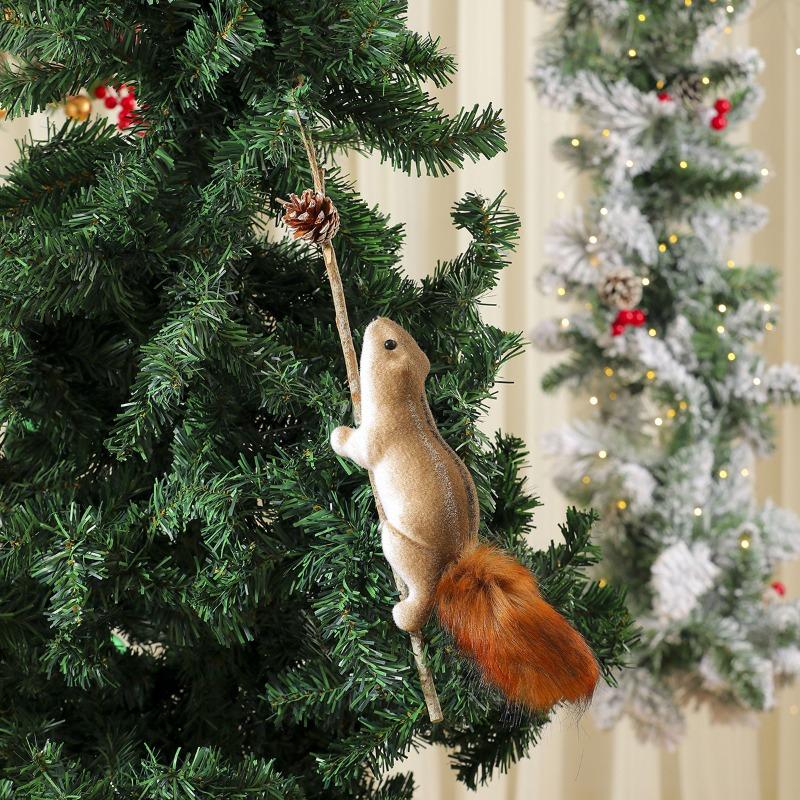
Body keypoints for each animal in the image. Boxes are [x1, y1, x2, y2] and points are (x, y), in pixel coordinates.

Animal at [331, 317, 599, 710]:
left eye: (389, 343)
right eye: (401, 337)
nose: (378, 320)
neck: (408, 404)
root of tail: (453, 566)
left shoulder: (373, 439)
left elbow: (354, 448)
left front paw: (339, 432)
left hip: (398, 545)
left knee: (419, 599)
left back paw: (404, 614)